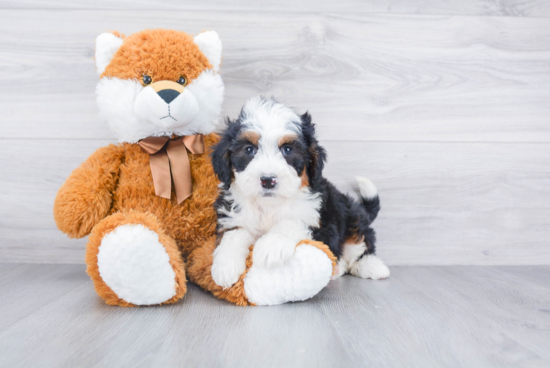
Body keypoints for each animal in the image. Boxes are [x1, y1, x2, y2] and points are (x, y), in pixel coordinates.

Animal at [209, 97, 390, 288]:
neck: (269, 206)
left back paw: (372, 267)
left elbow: (293, 221)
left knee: (360, 244)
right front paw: (225, 266)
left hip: (352, 218)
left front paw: (271, 245)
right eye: (249, 150)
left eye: (287, 150)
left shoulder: (321, 223)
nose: (268, 180)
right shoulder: (231, 215)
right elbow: (235, 232)